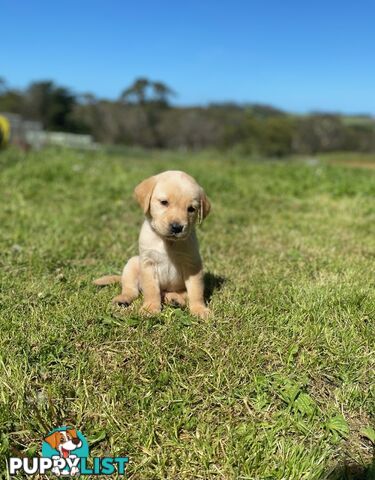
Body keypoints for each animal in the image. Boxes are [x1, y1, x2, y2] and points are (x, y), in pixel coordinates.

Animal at [94, 170, 212, 318]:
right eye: (164, 202)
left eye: (191, 209)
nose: (177, 227)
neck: (167, 242)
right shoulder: (148, 263)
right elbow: (151, 290)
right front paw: (150, 308)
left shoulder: (192, 265)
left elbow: (196, 291)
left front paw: (199, 309)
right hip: (132, 264)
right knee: (131, 290)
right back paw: (122, 299)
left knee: (177, 294)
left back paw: (174, 299)